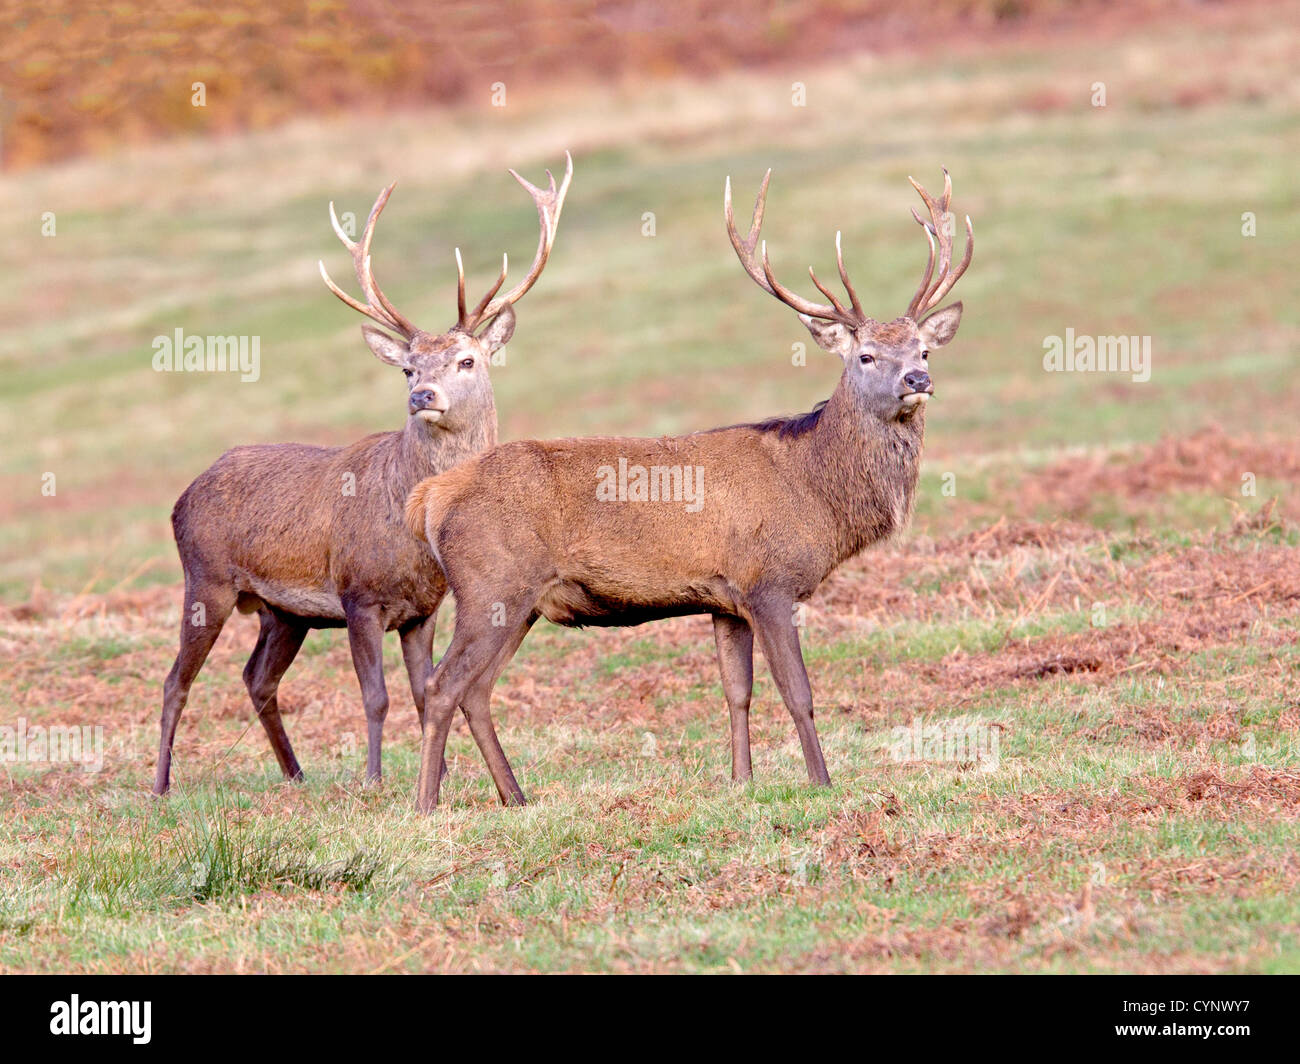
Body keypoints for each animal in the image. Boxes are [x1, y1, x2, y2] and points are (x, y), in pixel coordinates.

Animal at [151, 153, 572, 796]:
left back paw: (296, 775)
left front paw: (438, 778)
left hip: (282, 611)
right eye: (407, 368)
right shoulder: (357, 594)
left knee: (256, 677)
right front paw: (375, 779)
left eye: (467, 360)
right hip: (207, 579)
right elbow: (375, 697)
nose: (422, 395)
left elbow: (423, 695)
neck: (410, 524)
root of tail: (181, 498)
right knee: (176, 679)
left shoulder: (422, 610)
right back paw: (160, 785)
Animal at [401, 168, 973, 810]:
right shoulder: (770, 582)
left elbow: (737, 692)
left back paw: (516, 797)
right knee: (442, 685)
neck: (815, 491)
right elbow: (798, 693)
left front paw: (742, 780)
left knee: (476, 690)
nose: (918, 378)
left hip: (519, 602)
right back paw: (426, 806)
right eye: (867, 356)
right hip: (489, 584)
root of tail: (430, 496)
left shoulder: (725, 600)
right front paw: (822, 782)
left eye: (923, 348)